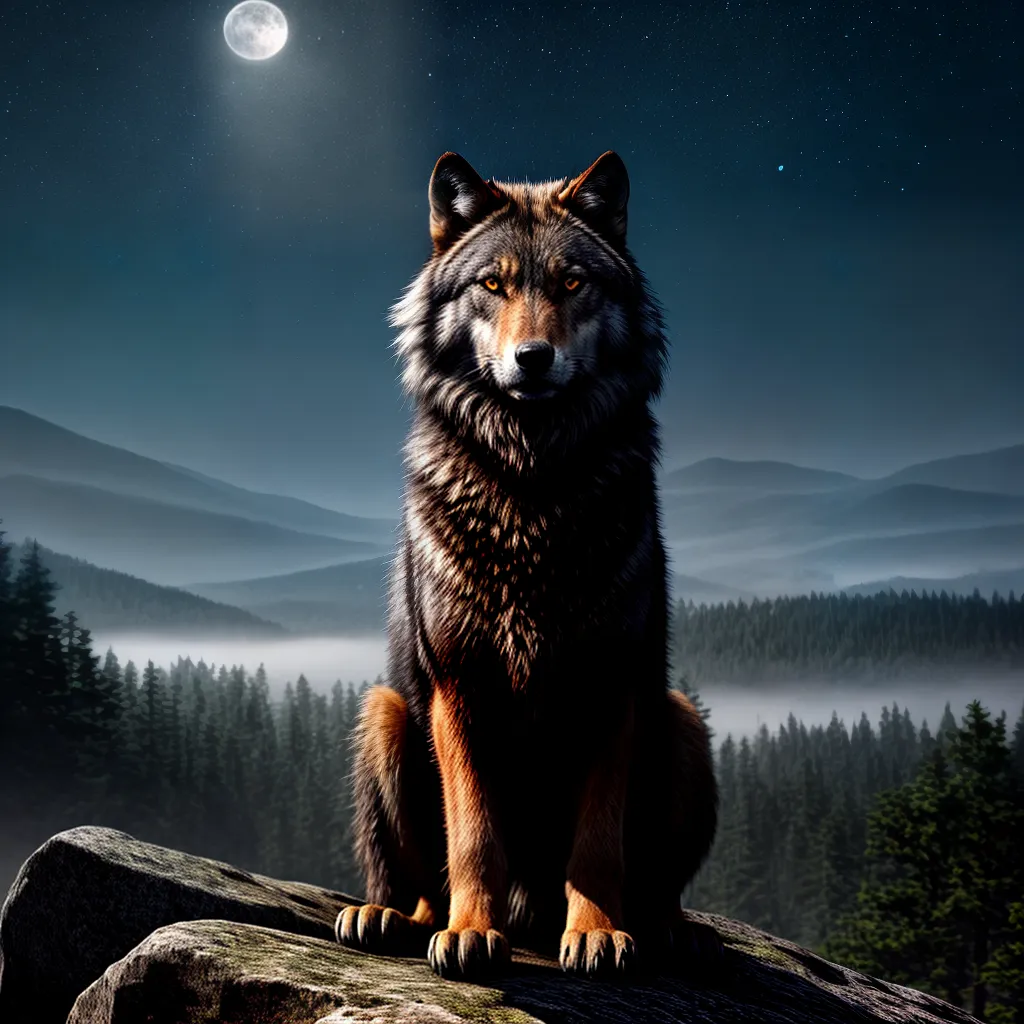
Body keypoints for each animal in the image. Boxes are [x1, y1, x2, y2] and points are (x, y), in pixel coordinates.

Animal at [336, 151, 719, 980]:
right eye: (493, 284)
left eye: (573, 284)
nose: (533, 358)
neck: (531, 489)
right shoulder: (459, 686)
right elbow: (473, 836)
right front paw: (471, 933)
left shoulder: (612, 686)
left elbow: (598, 841)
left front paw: (600, 932)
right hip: (386, 712)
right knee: (417, 884)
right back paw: (389, 917)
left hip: (680, 720)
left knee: (659, 884)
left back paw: (664, 928)